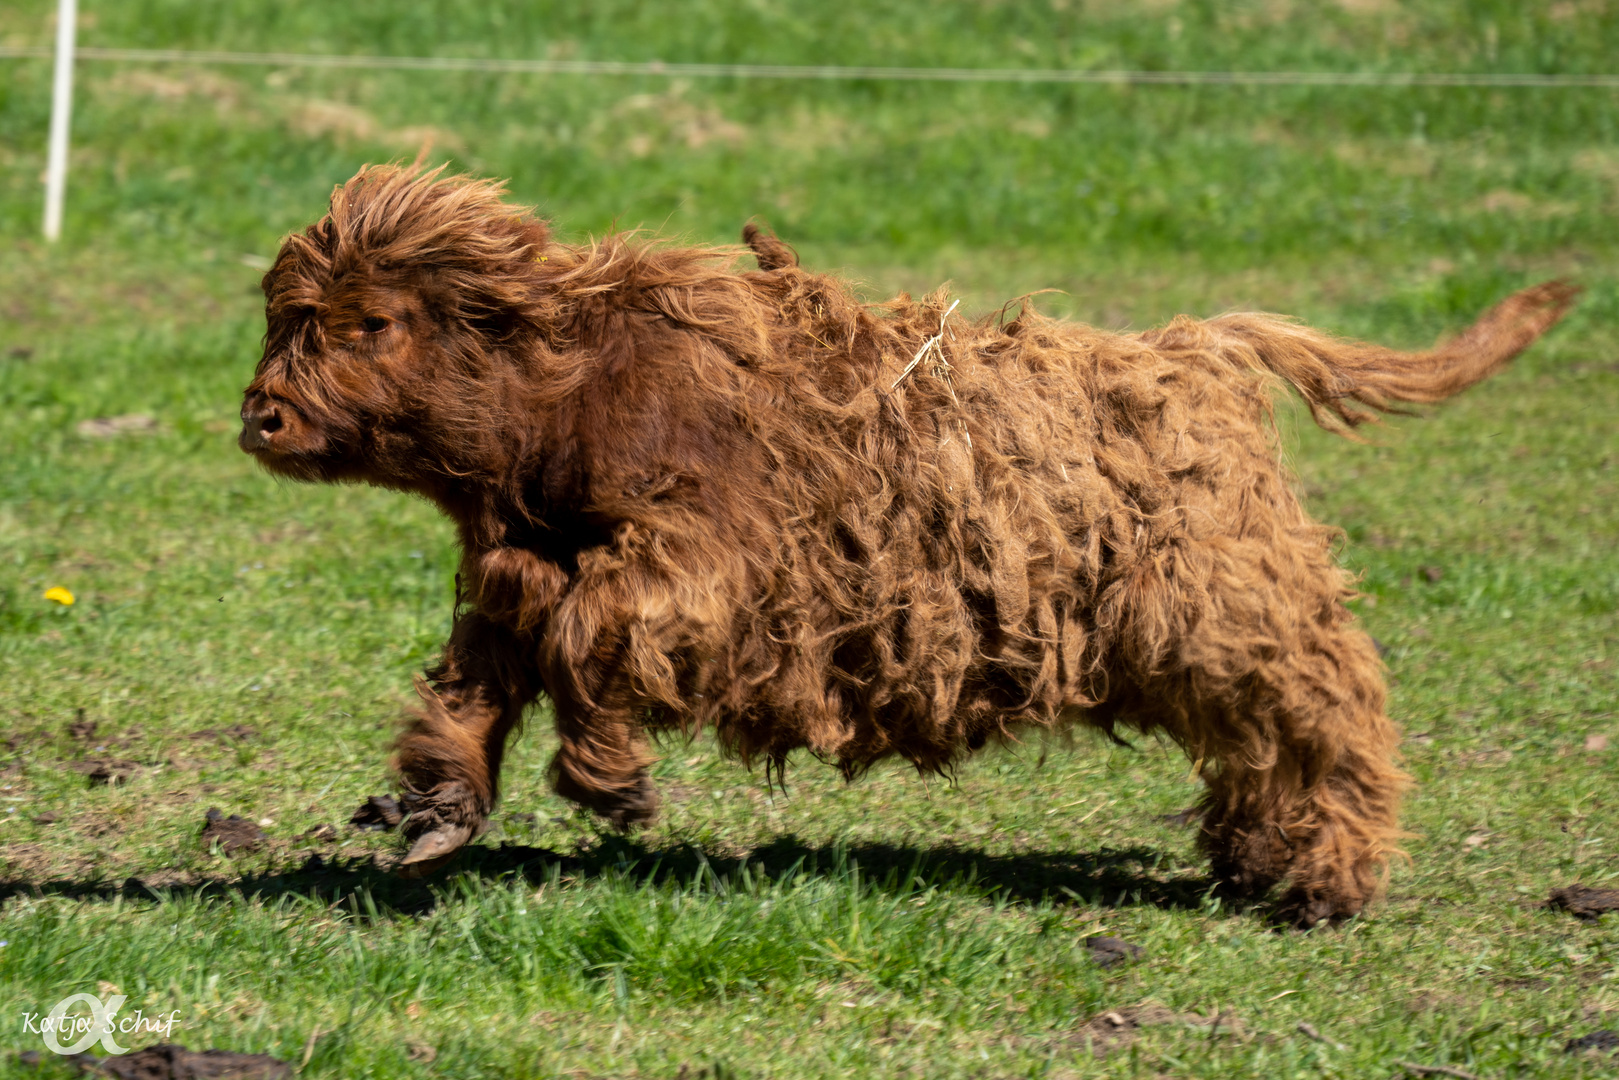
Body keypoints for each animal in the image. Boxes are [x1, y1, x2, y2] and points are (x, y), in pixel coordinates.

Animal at [236, 165, 1567, 926]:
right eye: (286, 319)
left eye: (370, 321)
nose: (261, 414)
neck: (563, 406)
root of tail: (1203, 344)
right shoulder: (507, 565)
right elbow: (484, 667)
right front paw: (440, 807)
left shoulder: (709, 565)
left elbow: (590, 633)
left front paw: (609, 782)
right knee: (1254, 742)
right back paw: (1251, 863)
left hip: (1232, 609)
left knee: (1330, 711)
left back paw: (1326, 885)